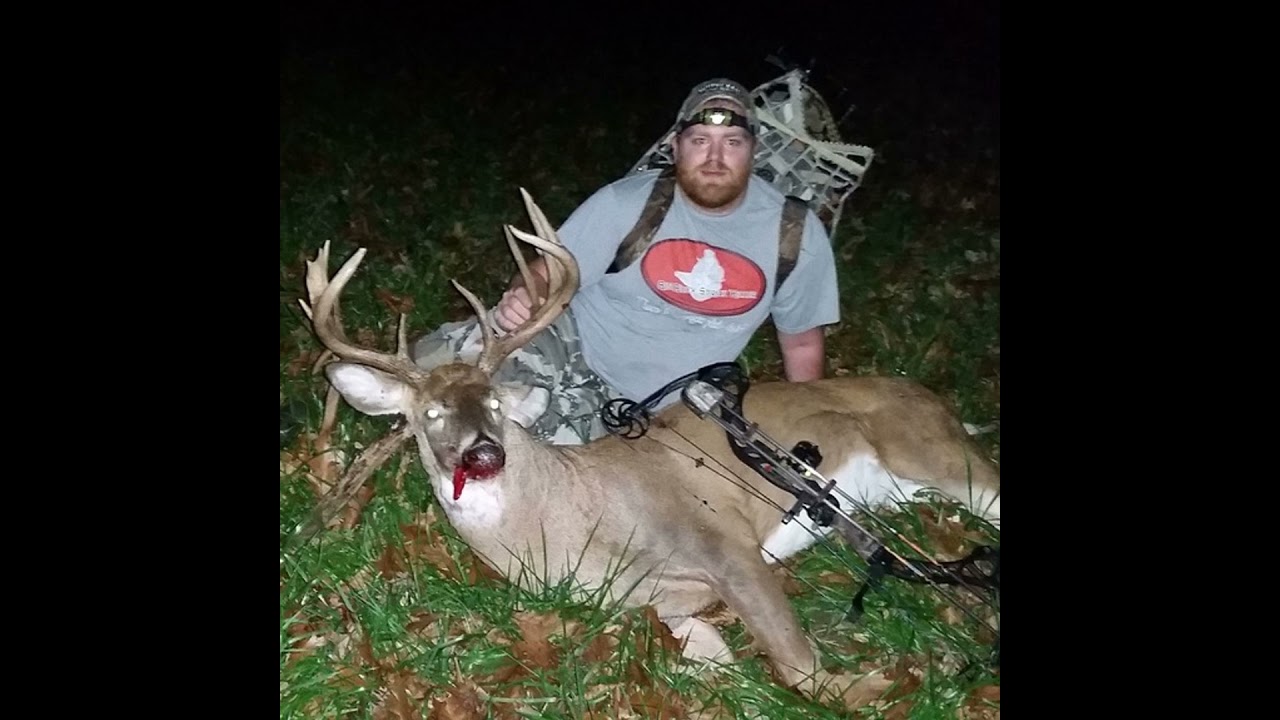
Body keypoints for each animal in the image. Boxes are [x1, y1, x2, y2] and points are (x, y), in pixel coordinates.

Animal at [297, 188, 1001, 706]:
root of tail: (941, 403)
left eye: (495, 404)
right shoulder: (658, 598)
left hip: (940, 456)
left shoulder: (726, 545)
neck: (574, 532)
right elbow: (713, 655)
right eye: (432, 413)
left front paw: (898, 679)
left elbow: (803, 669)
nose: (484, 456)